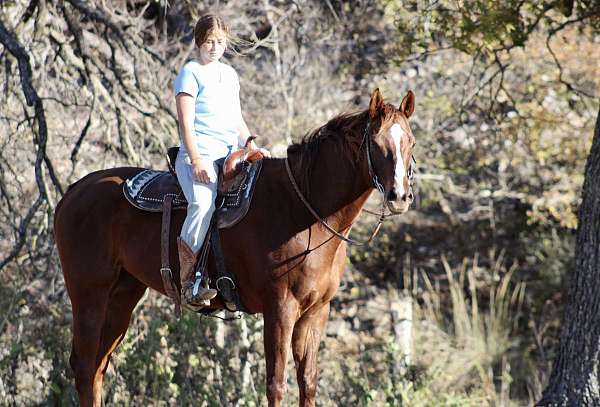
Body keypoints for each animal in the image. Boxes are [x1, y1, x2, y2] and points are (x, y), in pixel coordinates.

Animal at [54, 87, 414, 406]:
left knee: (98, 368)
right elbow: (276, 384)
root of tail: (74, 191)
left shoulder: (315, 313)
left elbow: (308, 382)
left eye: (410, 141)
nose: (399, 196)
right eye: (377, 143)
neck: (304, 211)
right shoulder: (279, 310)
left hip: (122, 295)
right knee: (84, 366)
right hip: (89, 295)